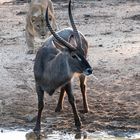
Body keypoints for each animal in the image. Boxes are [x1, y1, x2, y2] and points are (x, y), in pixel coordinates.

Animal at [33, 0, 92, 132]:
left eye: (82, 53)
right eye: (74, 55)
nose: (89, 69)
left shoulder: (68, 81)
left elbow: (72, 99)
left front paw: (78, 124)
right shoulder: (38, 85)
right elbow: (40, 104)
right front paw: (37, 127)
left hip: (80, 75)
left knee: (83, 86)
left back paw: (85, 109)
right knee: (63, 89)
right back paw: (58, 107)